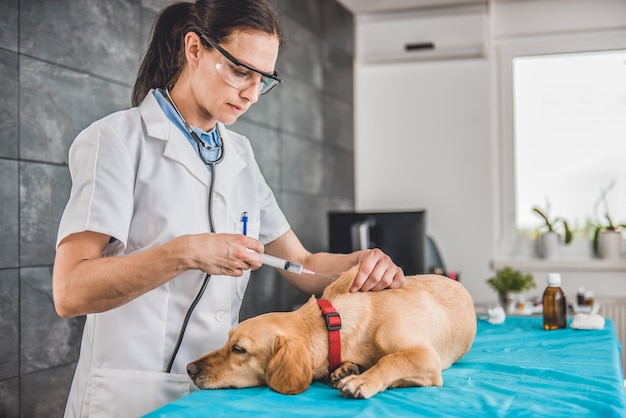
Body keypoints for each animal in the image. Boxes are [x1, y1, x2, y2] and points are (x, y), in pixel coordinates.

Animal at [185, 264, 472, 398]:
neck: (334, 323)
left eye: (239, 349)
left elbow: (391, 360)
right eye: (227, 342)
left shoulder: (426, 357)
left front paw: (361, 380)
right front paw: (347, 370)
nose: (189, 368)